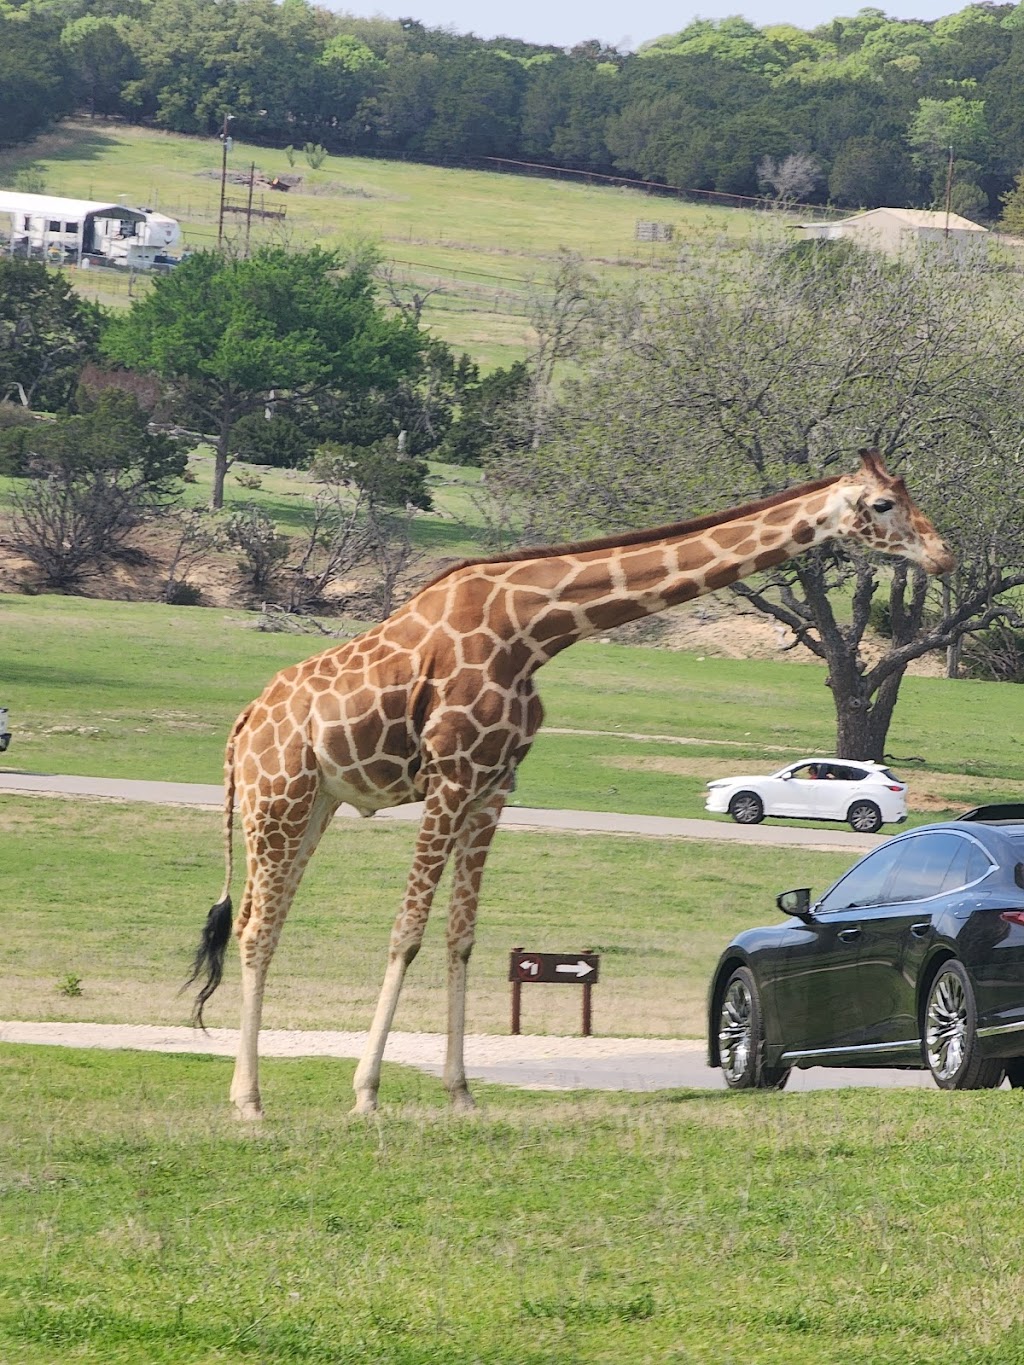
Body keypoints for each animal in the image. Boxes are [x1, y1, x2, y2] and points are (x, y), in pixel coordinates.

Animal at [184, 450, 955, 1119]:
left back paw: (249, 1092)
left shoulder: (492, 786)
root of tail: (243, 726)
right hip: (277, 796)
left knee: (263, 919)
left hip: (315, 802)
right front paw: (367, 1093)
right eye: (884, 503)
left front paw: (460, 1094)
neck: (535, 628)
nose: (943, 554)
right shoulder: (450, 776)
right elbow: (407, 932)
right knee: (254, 928)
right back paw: (249, 1103)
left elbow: (461, 937)